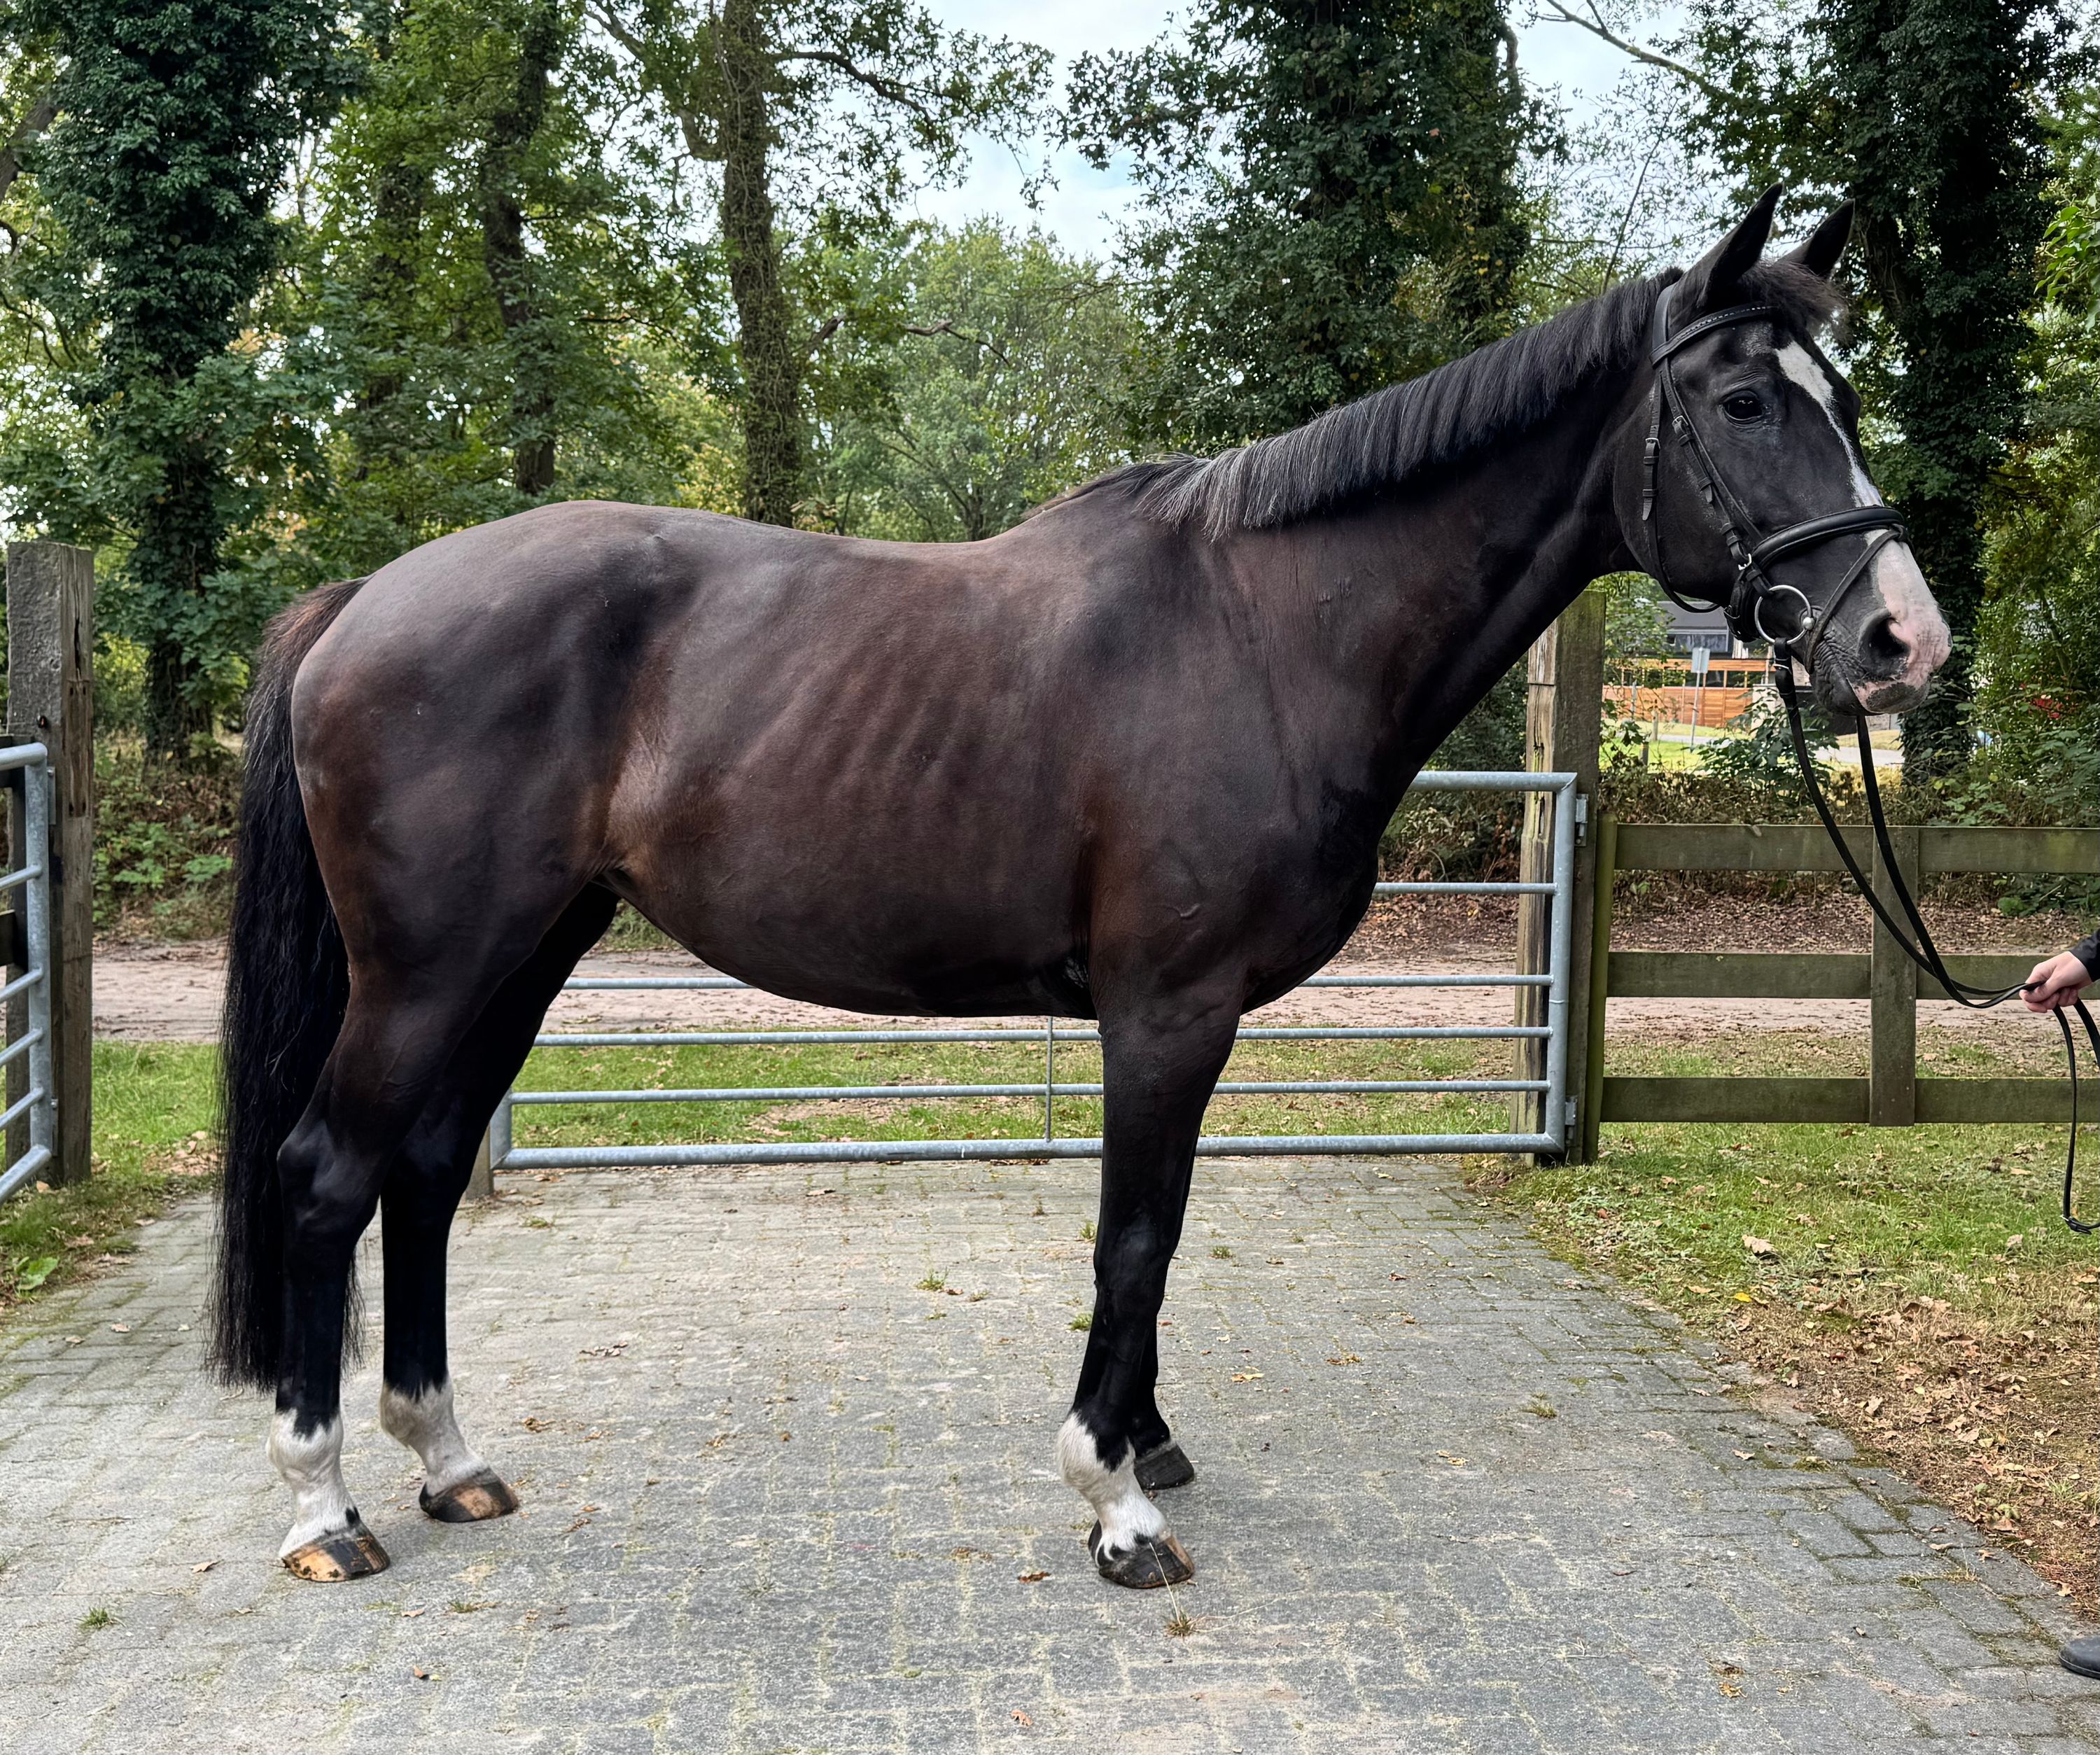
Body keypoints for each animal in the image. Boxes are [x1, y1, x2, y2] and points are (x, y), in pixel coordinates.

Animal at [209, 188, 1949, 1588]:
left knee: (428, 1169)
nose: (1900, 640)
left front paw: (1151, 1439)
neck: (1265, 633)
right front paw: (1116, 1501)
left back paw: (447, 1459)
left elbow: (1160, 1233)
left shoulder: (1189, 1019)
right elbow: (1137, 1235)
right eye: (1742, 398)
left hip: (522, 952)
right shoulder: (1164, 1010)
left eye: (1845, 395)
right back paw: (324, 1507)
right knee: (328, 1173)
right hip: (431, 970)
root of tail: (368, 595)